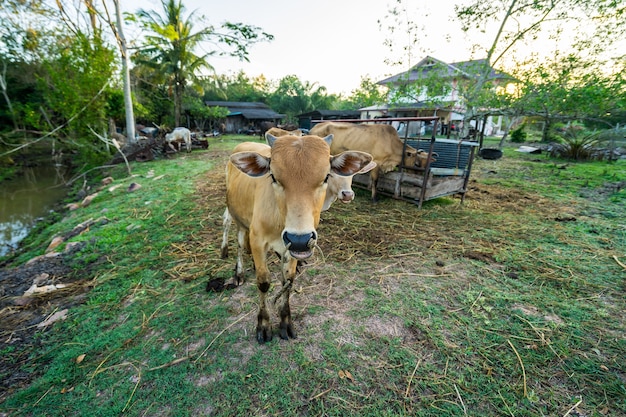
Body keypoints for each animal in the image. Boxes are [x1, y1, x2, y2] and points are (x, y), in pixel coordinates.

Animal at [224, 132, 372, 342]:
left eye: (326, 176)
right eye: (273, 176)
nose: (300, 239)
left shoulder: (291, 250)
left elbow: (288, 281)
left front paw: (286, 322)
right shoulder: (258, 240)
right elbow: (263, 282)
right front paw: (263, 325)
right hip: (237, 218)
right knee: (238, 244)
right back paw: (238, 273)